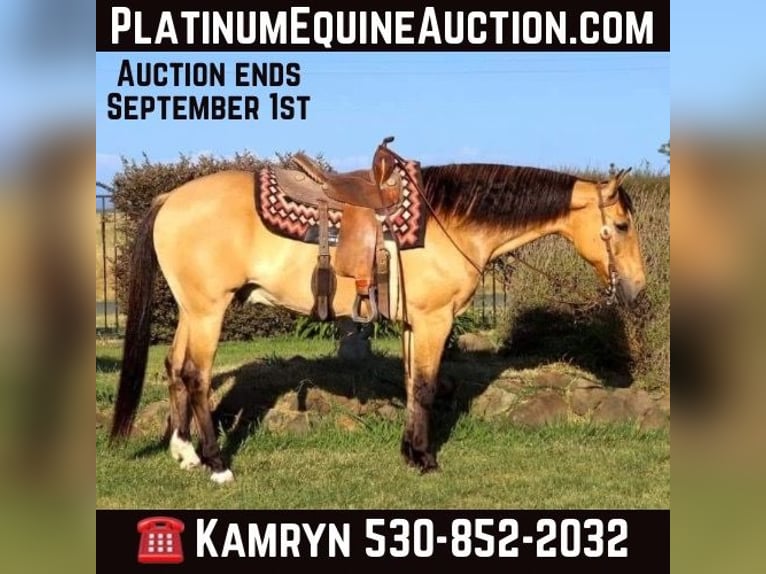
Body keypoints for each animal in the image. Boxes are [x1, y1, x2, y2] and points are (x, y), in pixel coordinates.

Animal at [109, 156, 645, 484]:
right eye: (620, 225)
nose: (637, 288)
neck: (449, 222)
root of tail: (170, 199)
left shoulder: (414, 325)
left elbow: (411, 385)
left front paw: (409, 452)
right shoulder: (433, 321)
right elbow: (426, 387)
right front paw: (426, 459)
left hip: (192, 310)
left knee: (174, 369)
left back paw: (184, 453)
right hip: (209, 310)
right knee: (197, 376)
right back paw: (217, 464)